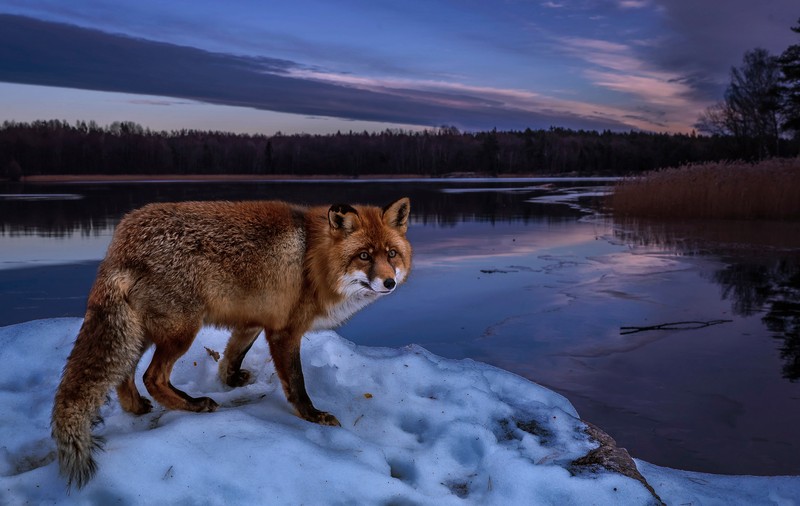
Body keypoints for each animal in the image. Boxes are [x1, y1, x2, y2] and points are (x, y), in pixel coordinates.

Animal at [50, 197, 412, 486]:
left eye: (392, 253)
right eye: (364, 256)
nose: (389, 283)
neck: (313, 259)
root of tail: (122, 239)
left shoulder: (253, 321)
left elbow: (231, 356)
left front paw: (232, 380)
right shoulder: (285, 332)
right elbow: (297, 384)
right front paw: (312, 416)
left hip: (142, 331)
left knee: (124, 374)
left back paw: (137, 407)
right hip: (181, 331)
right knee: (152, 377)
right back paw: (194, 405)